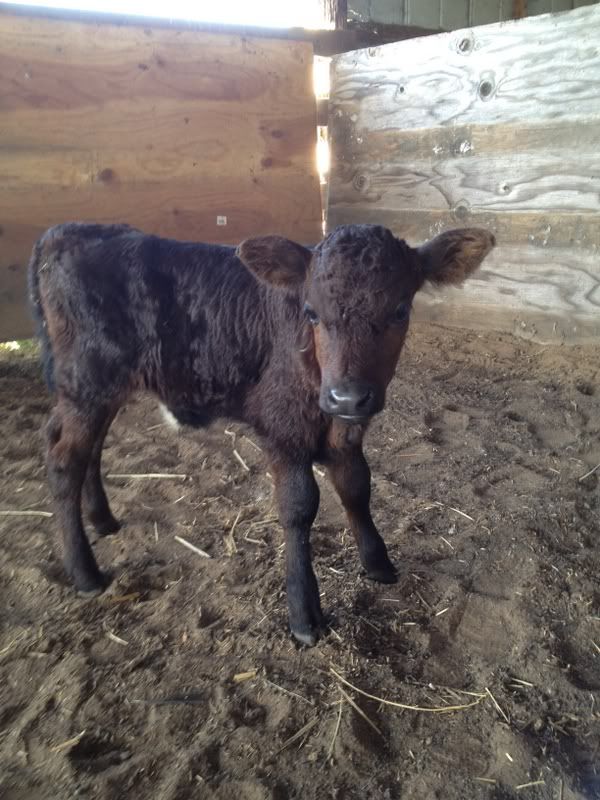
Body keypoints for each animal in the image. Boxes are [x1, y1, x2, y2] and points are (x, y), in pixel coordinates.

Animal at [29, 222, 494, 645]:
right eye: (311, 312)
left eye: (400, 310)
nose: (347, 396)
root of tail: (67, 230)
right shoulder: (282, 427)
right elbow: (298, 507)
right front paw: (304, 614)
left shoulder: (345, 432)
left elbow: (357, 486)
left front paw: (377, 562)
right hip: (87, 381)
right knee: (64, 460)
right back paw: (85, 572)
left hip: (101, 389)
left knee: (87, 447)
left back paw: (103, 520)